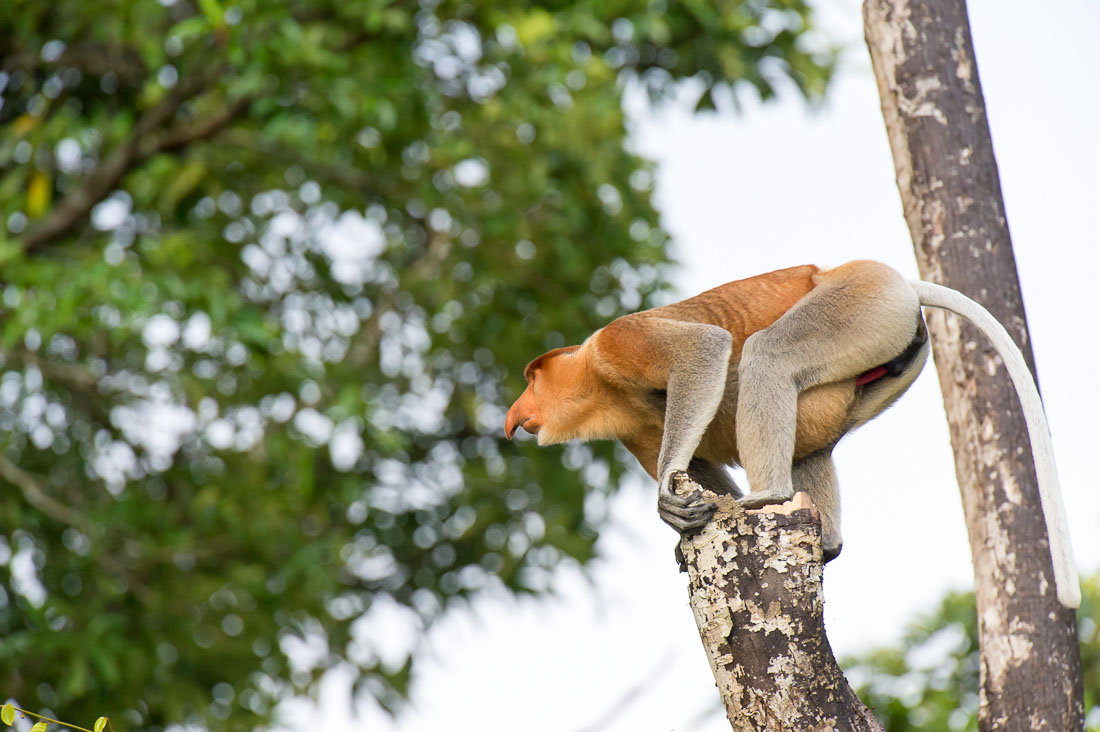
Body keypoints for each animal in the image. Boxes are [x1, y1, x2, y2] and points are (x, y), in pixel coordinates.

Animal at [506, 259, 1082, 607]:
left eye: (532, 377)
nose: (515, 414)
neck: (596, 379)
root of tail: (893, 277)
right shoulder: (633, 427)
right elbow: (702, 469)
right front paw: (684, 516)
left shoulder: (618, 342)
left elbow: (702, 349)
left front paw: (668, 503)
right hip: (890, 355)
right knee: (814, 444)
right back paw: (825, 538)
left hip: (861, 305)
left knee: (769, 354)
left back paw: (769, 496)